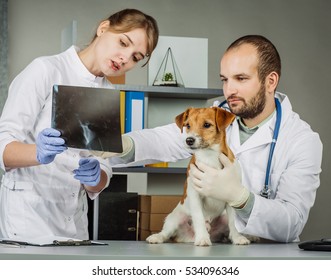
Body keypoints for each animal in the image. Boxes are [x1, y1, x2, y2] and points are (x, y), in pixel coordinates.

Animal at [147, 106, 253, 246]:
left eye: (207, 125)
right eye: (188, 125)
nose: (189, 140)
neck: (209, 157)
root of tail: (188, 238)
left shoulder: (231, 197)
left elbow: (233, 222)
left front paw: (237, 238)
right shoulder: (194, 194)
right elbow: (198, 217)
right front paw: (202, 238)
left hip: (223, 216)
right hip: (174, 218)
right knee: (166, 232)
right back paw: (157, 237)